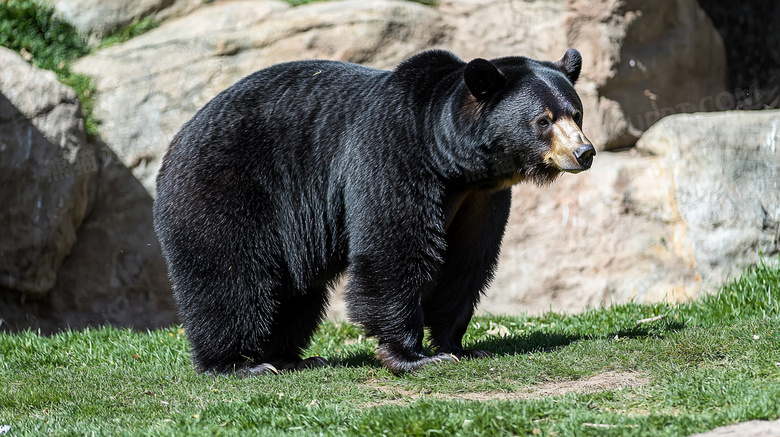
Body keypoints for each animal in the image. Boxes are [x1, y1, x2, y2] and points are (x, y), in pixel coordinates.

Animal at [154, 48, 596, 374]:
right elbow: (393, 250)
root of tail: (175, 141)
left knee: (293, 290)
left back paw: (290, 357)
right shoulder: (392, 156)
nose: (584, 152)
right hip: (228, 187)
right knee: (231, 273)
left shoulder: (481, 200)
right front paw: (411, 355)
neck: (452, 163)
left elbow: (465, 262)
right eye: (543, 120)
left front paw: (460, 345)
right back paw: (237, 363)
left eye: (576, 113)